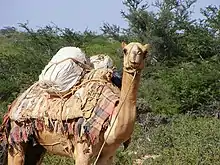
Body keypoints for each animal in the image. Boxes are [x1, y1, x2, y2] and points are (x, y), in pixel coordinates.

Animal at [0, 41, 150, 165]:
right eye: (125, 50)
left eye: (145, 52)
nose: (135, 58)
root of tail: (14, 104)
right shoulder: (83, 149)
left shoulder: (107, 155)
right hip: (17, 138)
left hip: (36, 146)